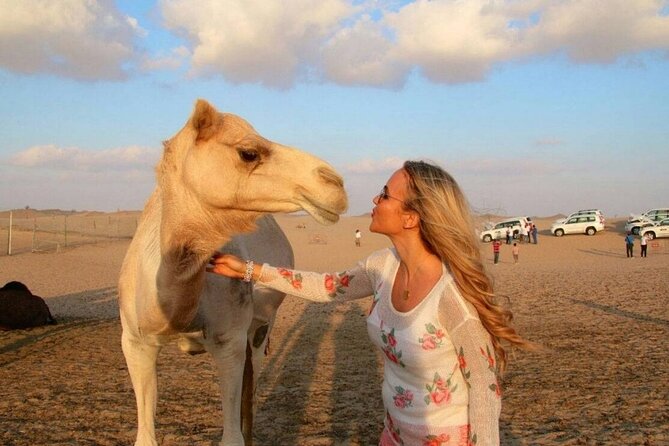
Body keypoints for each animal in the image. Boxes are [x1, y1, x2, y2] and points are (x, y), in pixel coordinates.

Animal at [118, 99, 347, 446]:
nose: (335, 183)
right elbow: (144, 436)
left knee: (250, 391)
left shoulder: (230, 341)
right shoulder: (134, 340)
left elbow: (232, 434)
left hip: (260, 328)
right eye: (248, 152)